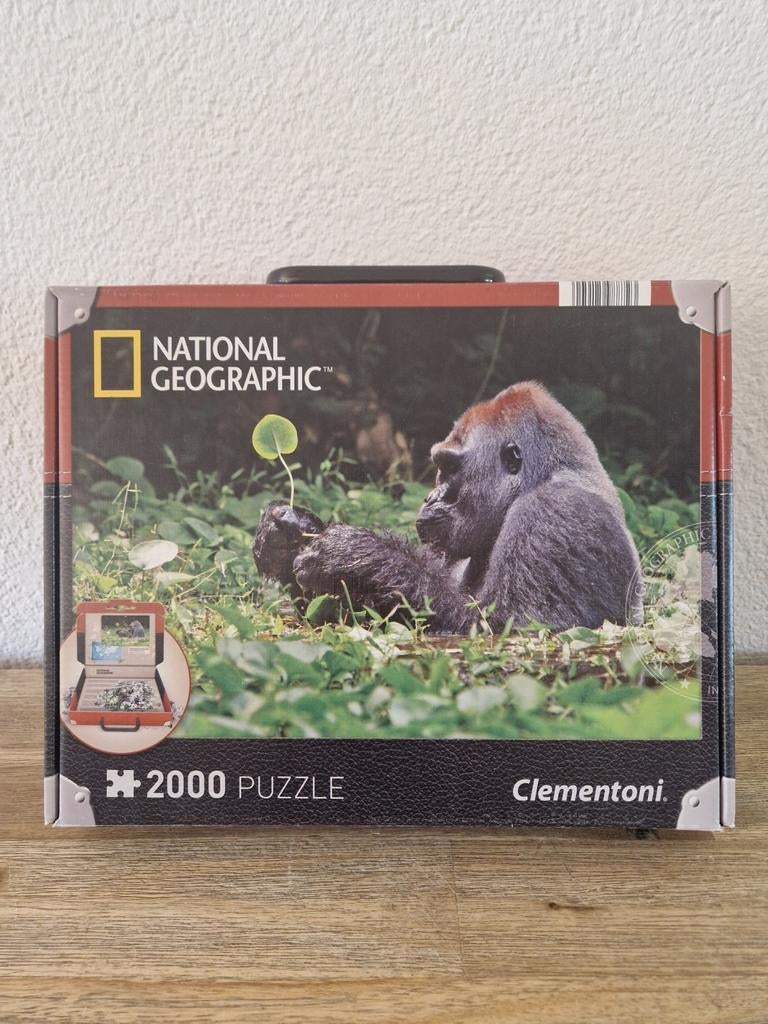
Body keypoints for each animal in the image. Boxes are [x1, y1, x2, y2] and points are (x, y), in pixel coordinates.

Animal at [252, 382, 643, 633]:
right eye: (440, 467)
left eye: (450, 468)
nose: (430, 497)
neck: (541, 476)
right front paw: (286, 536)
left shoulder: (555, 513)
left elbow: (510, 626)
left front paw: (357, 555)